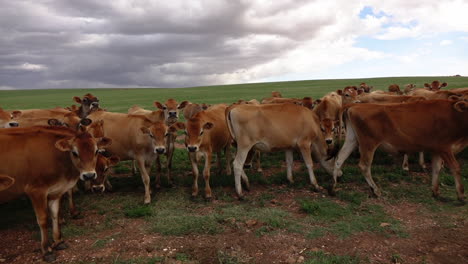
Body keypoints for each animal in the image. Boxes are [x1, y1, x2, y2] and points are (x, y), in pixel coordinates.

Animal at [332, 100, 468, 201]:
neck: (454, 115)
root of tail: (354, 105)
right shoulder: (445, 148)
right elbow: (455, 168)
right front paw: (461, 195)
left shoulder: (437, 150)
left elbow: (436, 169)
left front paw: (435, 191)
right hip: (368, 143)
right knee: (364, 165)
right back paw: (375, 190)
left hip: (352, 139)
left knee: (339, 159)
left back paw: (333, 185)